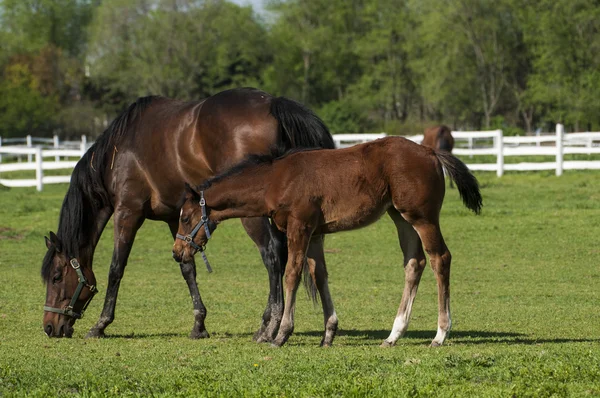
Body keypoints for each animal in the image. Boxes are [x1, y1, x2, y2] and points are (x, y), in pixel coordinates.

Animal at [40, 88, 336, 340]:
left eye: (56, 276)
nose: (50, 327)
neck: (119, 152)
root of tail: (273, 103)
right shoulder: (178, 217)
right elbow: (187, 267)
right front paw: (199, 324)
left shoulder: (127, 212)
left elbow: (116, 268)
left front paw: (100, 324)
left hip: (253, 215)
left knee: (273, 255)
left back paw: (268, 325)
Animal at [171, 135, 480, 346]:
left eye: (185, 218)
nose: (177, 251)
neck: (276, 179)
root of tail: (430, 151)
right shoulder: (315, 233)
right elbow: (319, 275)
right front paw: (328, 333)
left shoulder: (299, 227)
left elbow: (292, 274)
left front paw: (281, 334)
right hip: (401, 218)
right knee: (414, 263)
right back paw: (394, 334)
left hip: (422, 217)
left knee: (440, 258)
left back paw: (440, 334)